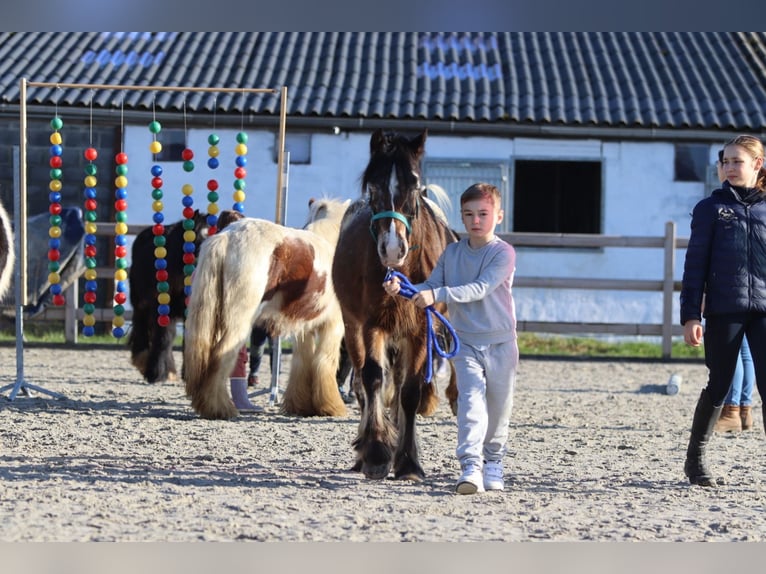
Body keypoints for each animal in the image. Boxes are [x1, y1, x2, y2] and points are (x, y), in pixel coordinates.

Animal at [128, 210, 208, 382]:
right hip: (141, 305)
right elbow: (163, 338)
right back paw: (144, 361)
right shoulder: (163, 309)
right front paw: (155, 373)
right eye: (197, 239)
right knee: (142, 328)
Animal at [183, 197, 352, 418]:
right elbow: (325, 362)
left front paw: (300, 406)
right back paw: (220, 408)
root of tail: (227, 236)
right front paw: (331, 406)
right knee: (222, 355)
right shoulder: (333, 326)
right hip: (239, 322)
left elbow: (302, 363)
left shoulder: (302, 328)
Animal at [332, 129, 460, 482]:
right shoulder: (370, 324)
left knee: (400, 386)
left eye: (414, 185)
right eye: (373, 187)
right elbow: (373, 378)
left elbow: (410, 392)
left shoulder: (419, 330)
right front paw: (376, 452)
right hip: (353, 328)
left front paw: (408, 462)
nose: (392, 249)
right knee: (363, 385)